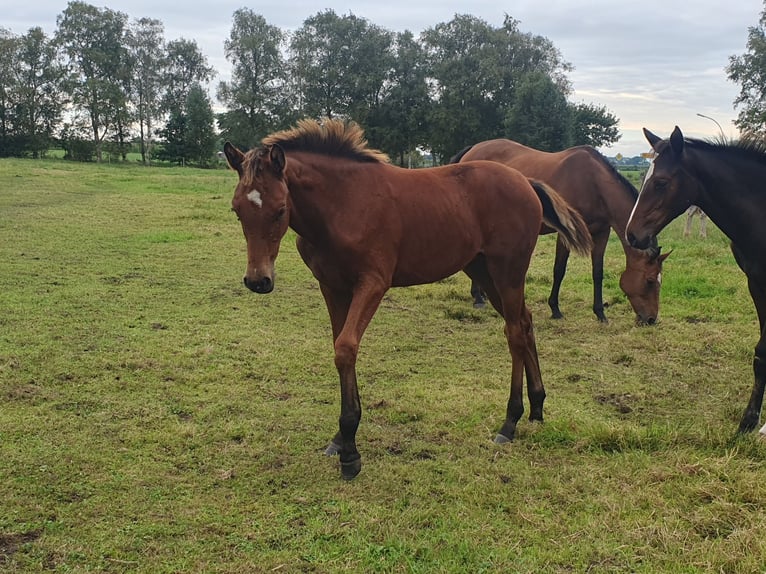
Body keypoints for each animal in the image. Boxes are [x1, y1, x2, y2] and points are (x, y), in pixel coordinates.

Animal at [222, 119, 592, 480]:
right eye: (237, 210)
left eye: (280, 209)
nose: (258, 281)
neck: (342, 205)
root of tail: (526, 182)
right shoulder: (332, 287)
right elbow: (340, 347)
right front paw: (340, 440)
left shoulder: (372, 283)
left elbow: (346, 347)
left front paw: (350, 451)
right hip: (484, 272)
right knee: (525, 323)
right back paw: (537, 406)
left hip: (507, 271)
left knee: (514, 333)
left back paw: (510, 421)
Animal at [452, 139, 668, 324]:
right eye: (650, 281)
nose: (651, 319)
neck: (593, 184)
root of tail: (472, 149)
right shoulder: (566, 234)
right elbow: (559, 270)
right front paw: (555, 309)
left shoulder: (601, 233)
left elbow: (597, 272)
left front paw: (600, 312)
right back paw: (478, 298)